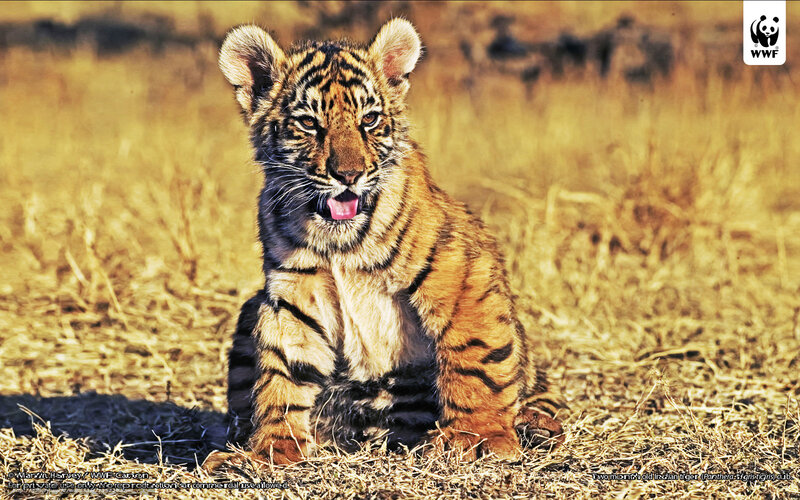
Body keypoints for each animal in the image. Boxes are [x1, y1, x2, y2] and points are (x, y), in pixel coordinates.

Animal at [203, 19, 564, 469]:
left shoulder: (462, 271)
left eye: (370, 119)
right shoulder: (294, 293)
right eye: (309, 124)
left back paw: (533, 427)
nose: (348, 175)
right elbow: (282, 372)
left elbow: (475, 355)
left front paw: (479, 439)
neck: (338, 240)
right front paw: (271, 451)